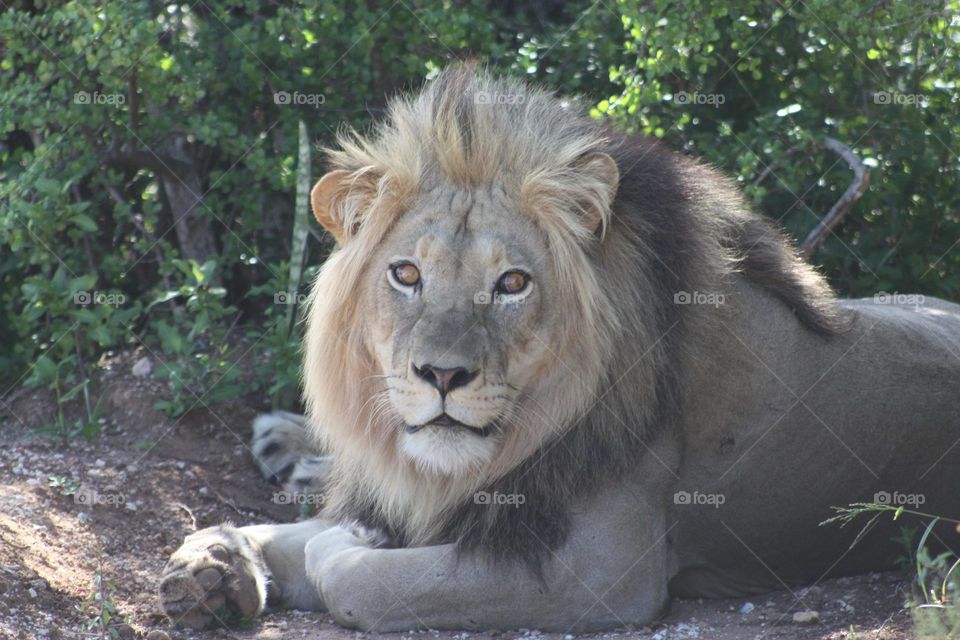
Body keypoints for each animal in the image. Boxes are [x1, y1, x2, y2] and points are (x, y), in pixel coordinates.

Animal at [158, 66, 960, 632]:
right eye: (406, 274)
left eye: (512, 283)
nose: (441, 374)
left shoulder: (603, 572)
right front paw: (213, 566)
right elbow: (279, 533)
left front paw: (338, 545)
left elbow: (358, 576)